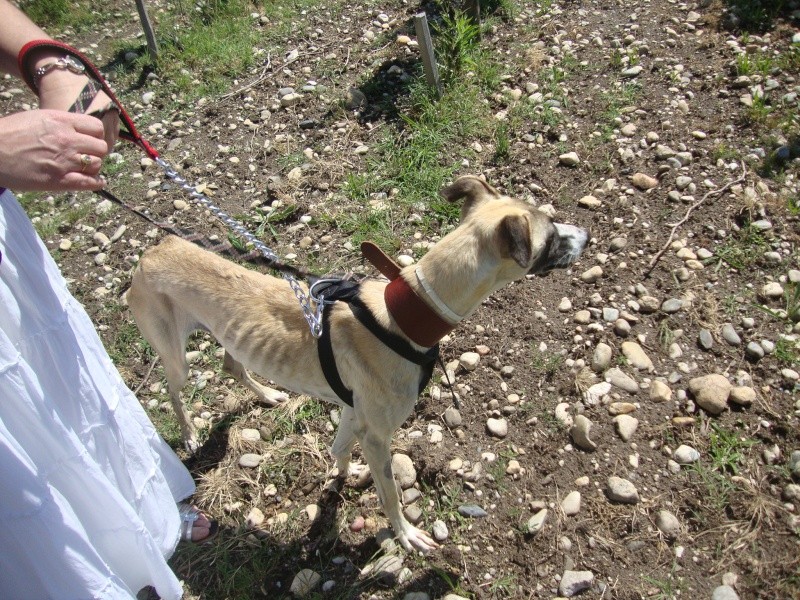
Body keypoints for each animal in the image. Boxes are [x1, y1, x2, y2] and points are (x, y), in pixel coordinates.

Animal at [126, 175, 588, 552]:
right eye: (550, 236)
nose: (586, 234)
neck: (402, 317)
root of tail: (154, 250)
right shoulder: (378, 433)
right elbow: (390, 492)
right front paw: (404, 534)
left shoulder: (356, 412)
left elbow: (340, 448)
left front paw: (343, 478)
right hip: (174, 354)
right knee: (175, 390)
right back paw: (189, 435)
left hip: (226, 338)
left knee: (232, 366)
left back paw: (268, 395)